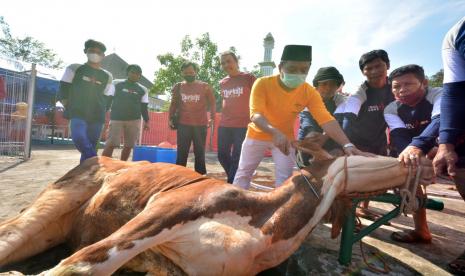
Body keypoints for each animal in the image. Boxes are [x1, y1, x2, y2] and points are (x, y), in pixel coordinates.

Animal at [0, 137, 432, 274]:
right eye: (358, 150)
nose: (417, 158)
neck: (264, 228)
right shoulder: (164, 213)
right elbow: (81, 265)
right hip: (54, 200)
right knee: (11, 236)